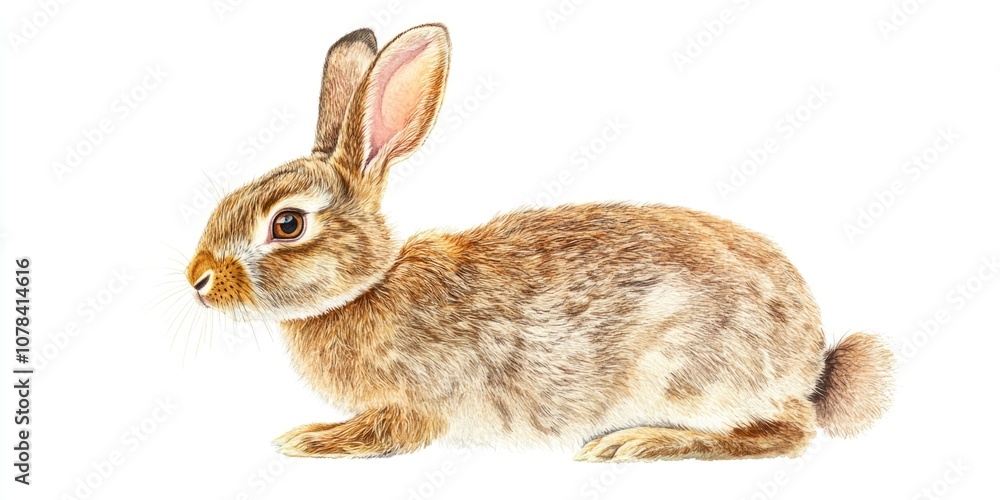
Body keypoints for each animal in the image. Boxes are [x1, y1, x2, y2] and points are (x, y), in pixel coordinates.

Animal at [185, 24, 894, 462]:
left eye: (286, 225)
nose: (198, 281)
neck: (369, 286)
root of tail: (812, 360)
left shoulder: (417, 404)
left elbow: (386, 433)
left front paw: (306, 438)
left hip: (691, 376)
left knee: (788, 431)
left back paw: (636, 445)